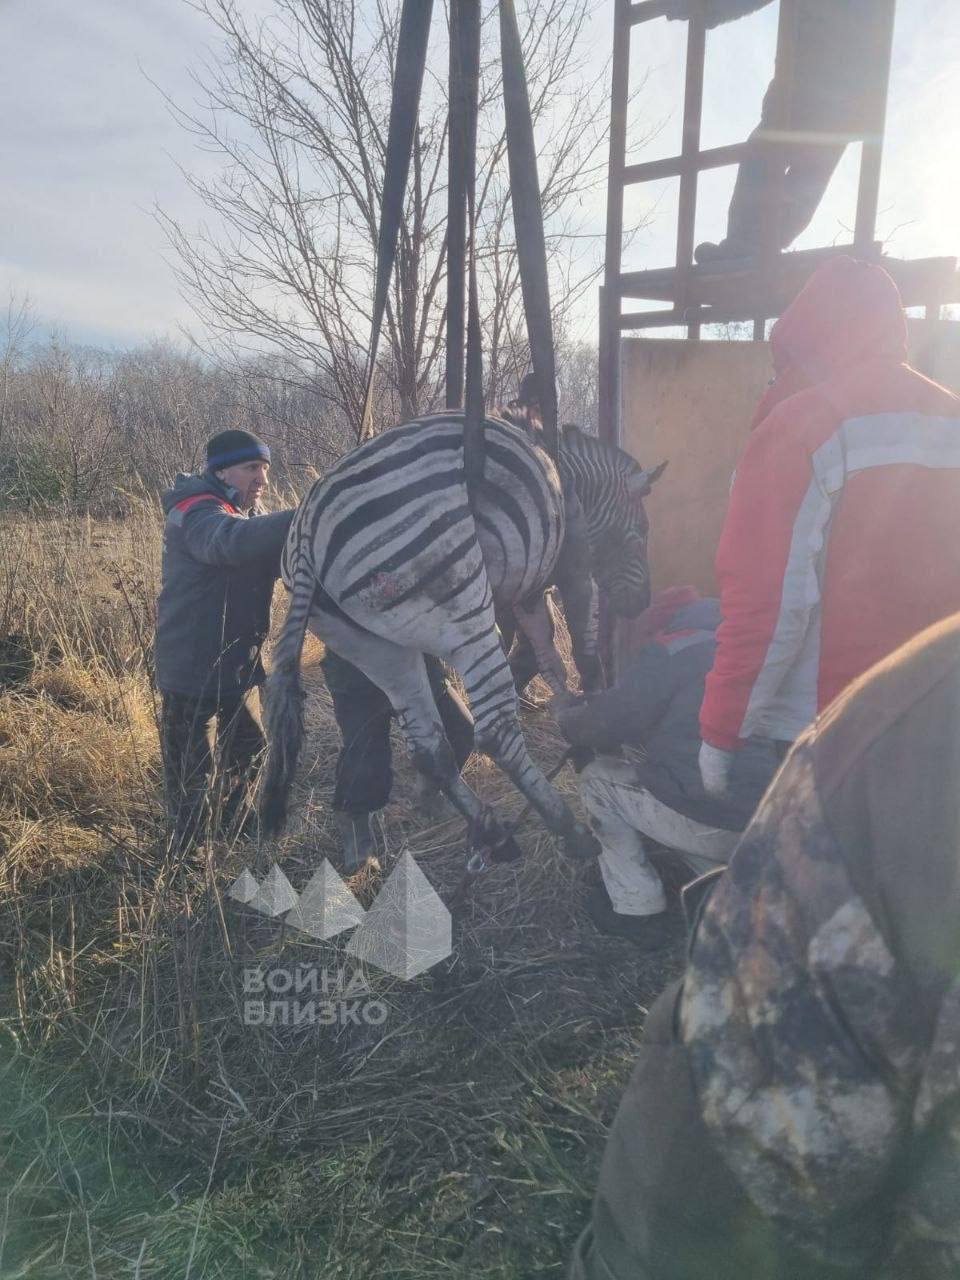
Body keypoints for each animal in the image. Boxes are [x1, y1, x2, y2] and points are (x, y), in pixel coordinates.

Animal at [263, 409, 670, 865]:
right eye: (641, 532)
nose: (639, 605)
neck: (568, 478)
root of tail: (305, 539)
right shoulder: (574, 567)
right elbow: (584, 656)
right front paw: (597, 739)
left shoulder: (529, 592)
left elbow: (548, 655)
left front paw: (571, 721)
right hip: (464, 618)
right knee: (494, 733)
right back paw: (568, 830)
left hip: (377, 650)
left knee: (427, 746)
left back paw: (491, 833)